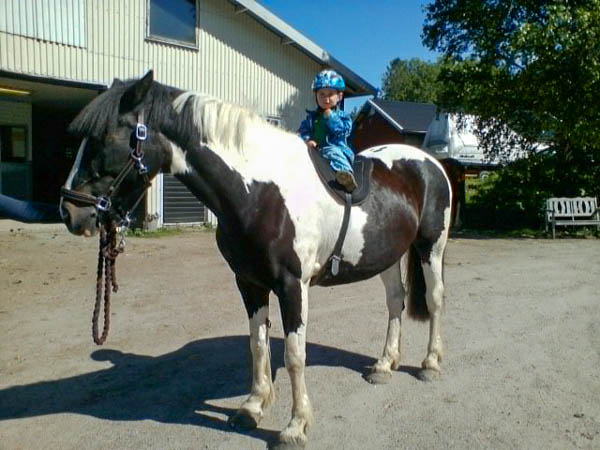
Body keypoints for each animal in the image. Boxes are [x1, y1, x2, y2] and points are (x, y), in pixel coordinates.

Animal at [60, 71, 451, 450]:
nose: (69, 212)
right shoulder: (249, 282)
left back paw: (430, 364)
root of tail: (429, 162)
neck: (260, 191)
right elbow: (258, 343)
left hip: (430, 246)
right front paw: (252, 407)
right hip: (388, 256)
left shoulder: (293, 286)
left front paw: (295, 427)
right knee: (396, 301)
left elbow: (293, 354)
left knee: (434, 300)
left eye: (104, 139)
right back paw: (384, 364)